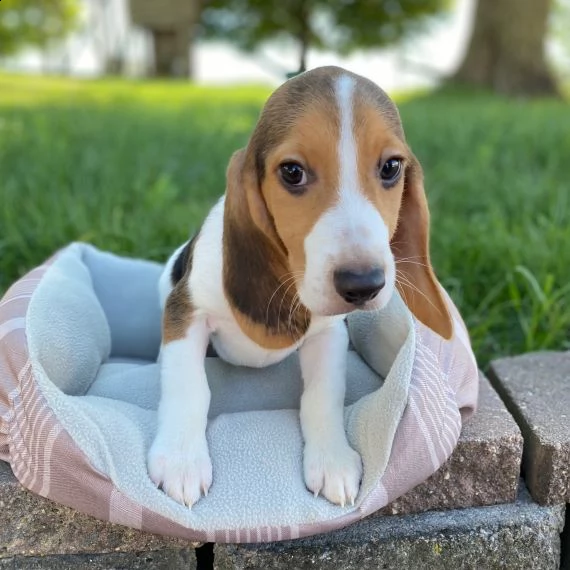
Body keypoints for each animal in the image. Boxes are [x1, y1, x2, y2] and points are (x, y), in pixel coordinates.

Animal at [149, 65, 450, 506]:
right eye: (292, 172)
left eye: (392, 167)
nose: (363, 284)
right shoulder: (186, 312)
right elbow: (189, 386)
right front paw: (181, 461)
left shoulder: (330, 335)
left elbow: (322, 396)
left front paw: (332, 460)